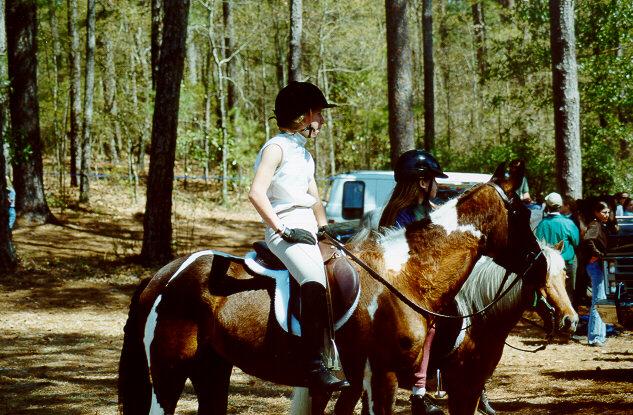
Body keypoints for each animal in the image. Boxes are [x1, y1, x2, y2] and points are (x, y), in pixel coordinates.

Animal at [116, 161, 540, 414]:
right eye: (522, 212)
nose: (539, 265)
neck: (404, 277)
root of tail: (163, 275)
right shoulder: (382, 375)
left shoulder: (364, 380)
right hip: (170, 370)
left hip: (212, 369)